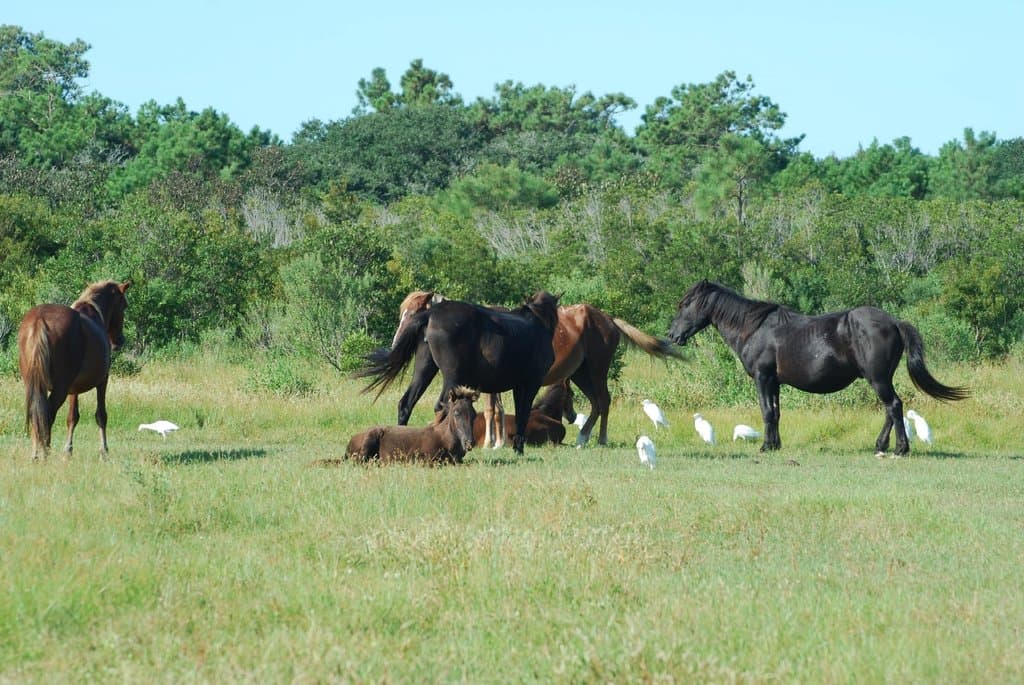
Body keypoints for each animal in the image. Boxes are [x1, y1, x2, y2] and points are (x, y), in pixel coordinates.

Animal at [17, 280, 131, 460]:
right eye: (124, 305)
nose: (119, 341)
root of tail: (39, 320)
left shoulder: (74, 389)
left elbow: (72, 417)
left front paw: (68, 450)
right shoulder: (103, 380)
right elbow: (101, 415)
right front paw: (104, 451)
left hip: (34, 385)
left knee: (36, 413)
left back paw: (36, 454)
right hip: (60, 389)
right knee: (47, 415)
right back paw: (45, 453)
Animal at [346, 386, 480, 464]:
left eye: (474, 414)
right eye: (456, 413)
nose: (470, 443)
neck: (444, 439)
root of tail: (352, 439)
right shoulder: (425, 459)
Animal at [360, 291, 560, 455]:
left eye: (410, 313)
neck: (537, 323)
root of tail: (432, 314)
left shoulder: (519, 386)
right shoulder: (530, 383)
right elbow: (523, 414)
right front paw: (518, 449)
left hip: (424, 369)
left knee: (406, 403)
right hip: (452, 377)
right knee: (442, 406)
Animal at [391, 290, 682, 446]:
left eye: (411, 312)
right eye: (401, 313)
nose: (397, 341)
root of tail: (607, 318)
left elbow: (494, 411)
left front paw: (494, 443)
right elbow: (495, 410)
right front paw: (494, 442)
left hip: (596, 370)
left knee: (604, 401)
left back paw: (597, 439)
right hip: (580, 374)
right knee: (597, 402)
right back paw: (583, 438)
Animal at [667, 280, 969, 456]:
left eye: (686, 304)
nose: (672, 335)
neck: (755, 329)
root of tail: (893, 322)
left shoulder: (763, 378)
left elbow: (766, 412)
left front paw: (765, 446)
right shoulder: (774, 382)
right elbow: (776, 413)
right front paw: (775, 445)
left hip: (878, 378)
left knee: (893, 406)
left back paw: (899, 449)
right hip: (881, 379)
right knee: (890, 408)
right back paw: (880, 446)